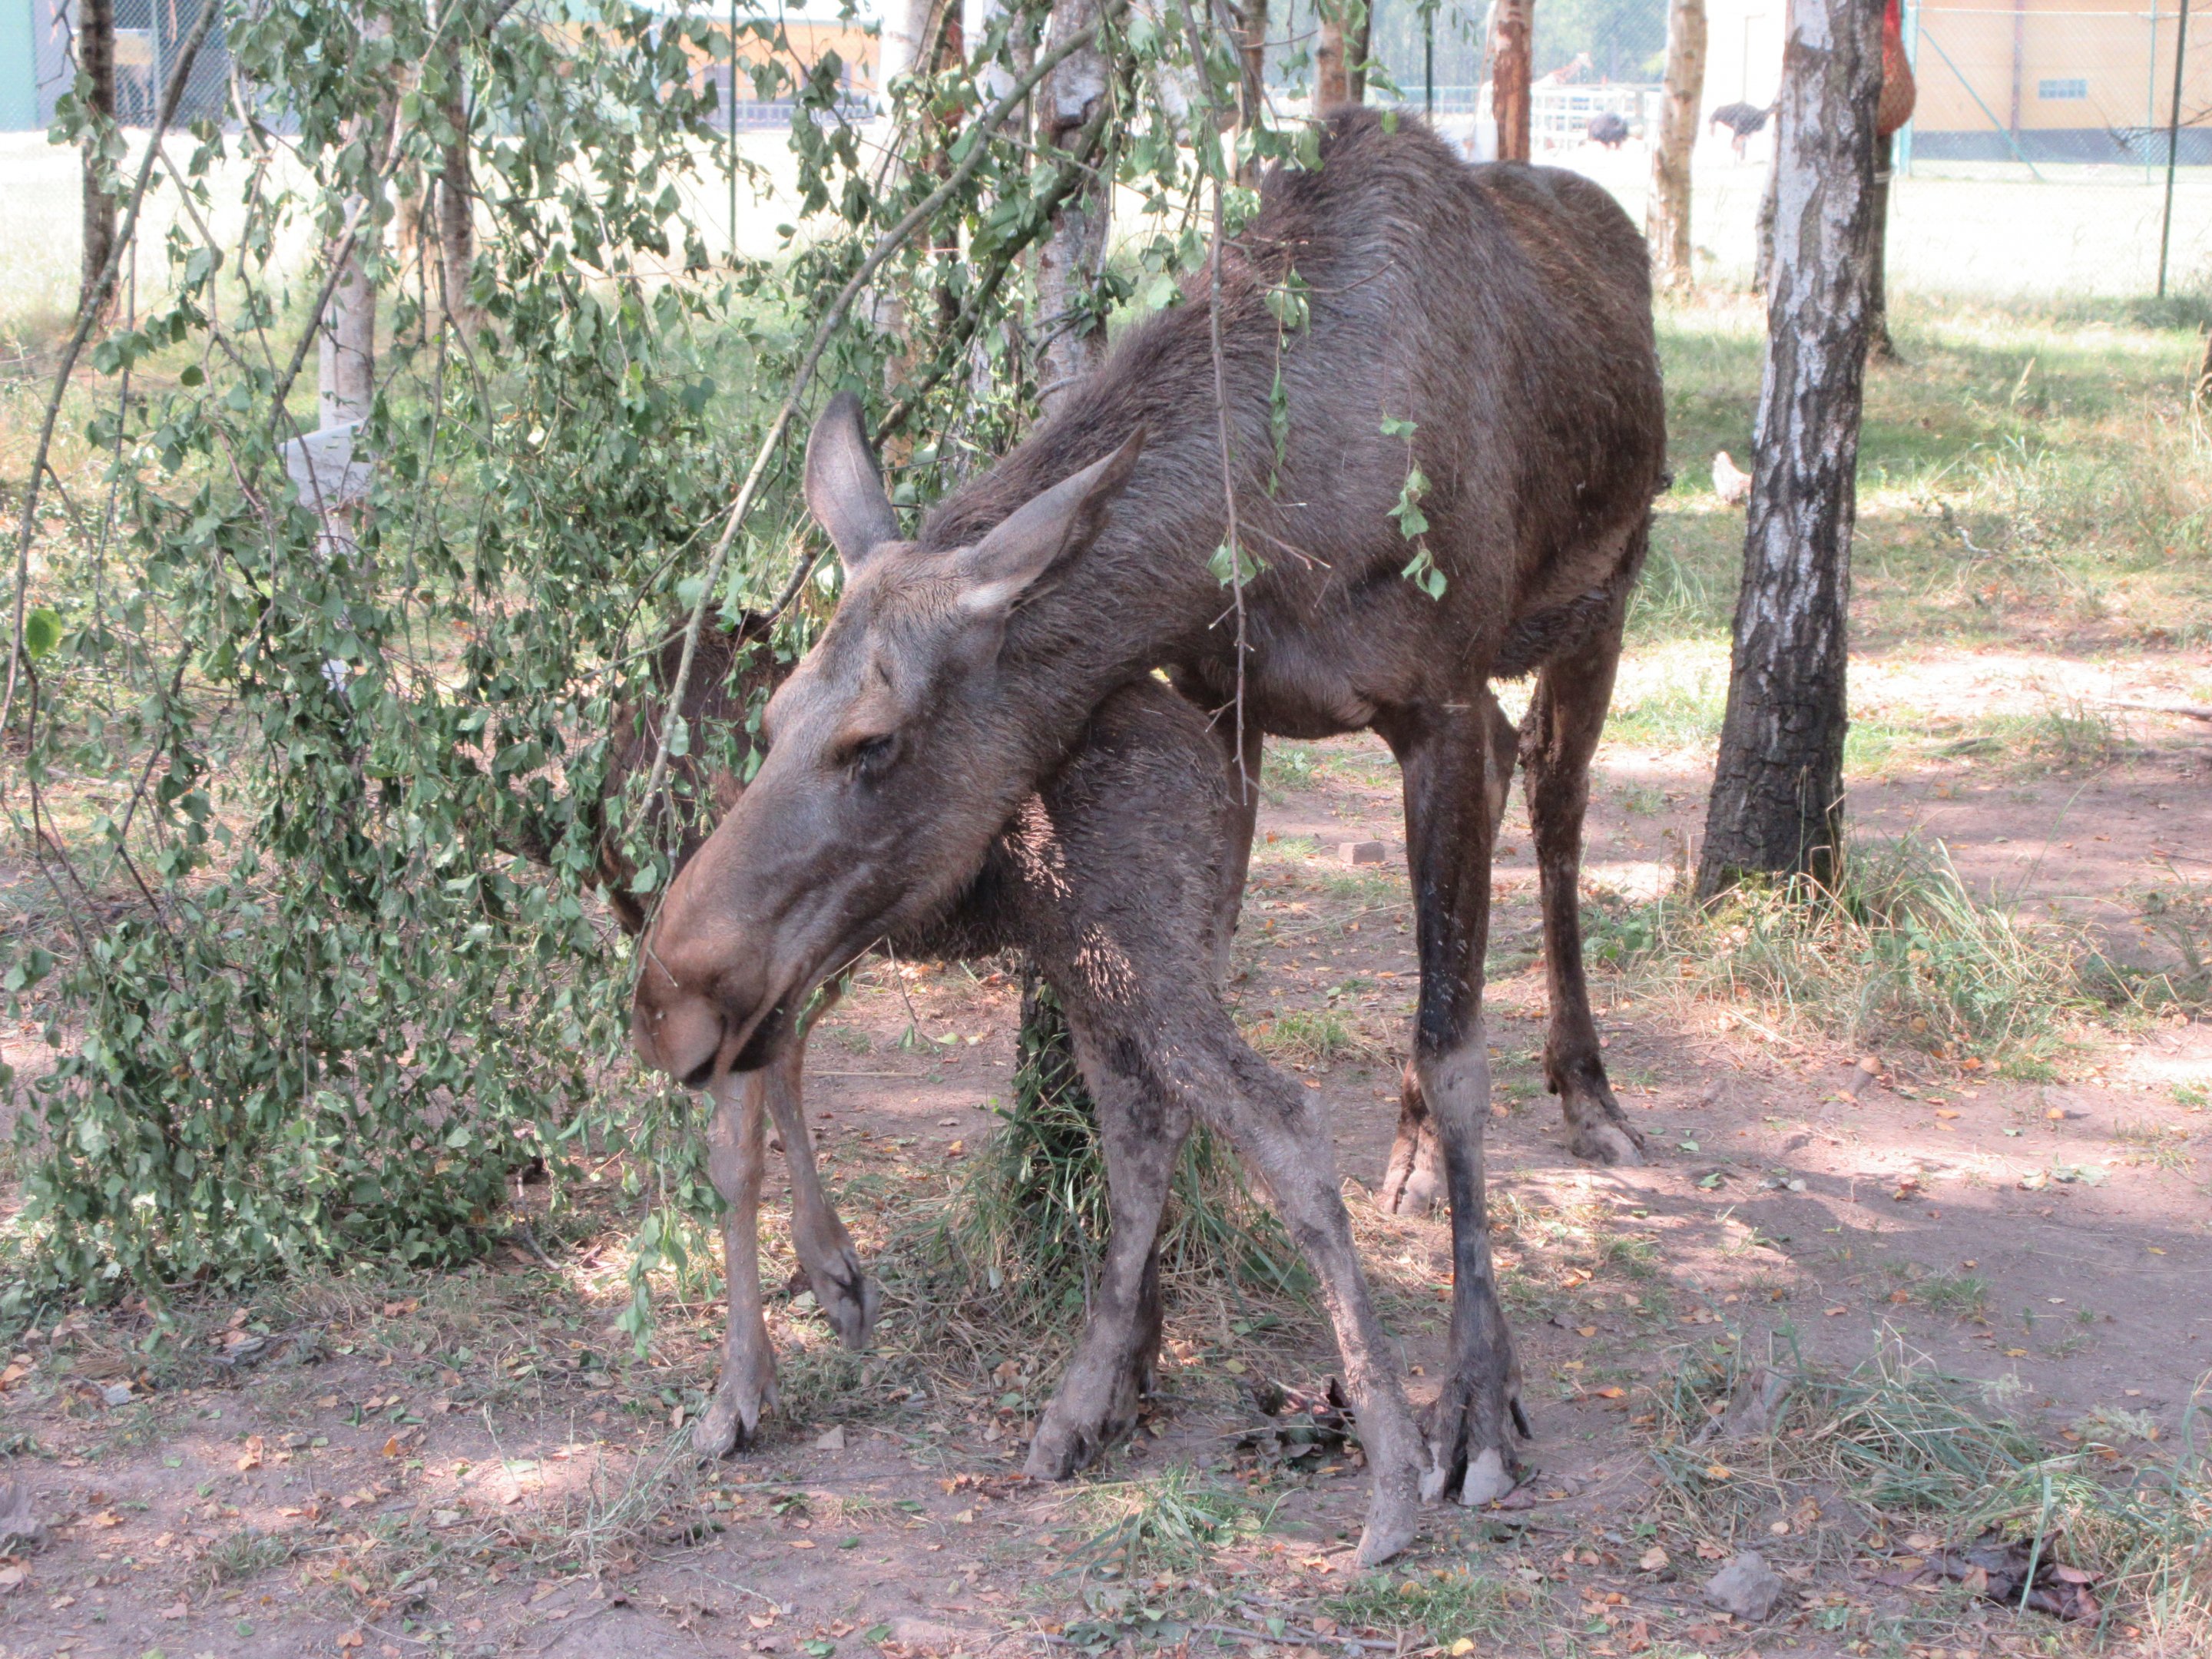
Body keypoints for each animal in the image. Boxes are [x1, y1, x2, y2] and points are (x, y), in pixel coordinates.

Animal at [632, 106, 1667, 1548]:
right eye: (774, 713)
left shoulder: (1440, 698)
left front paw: (1470, 1400)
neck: (1272, 508)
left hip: (1603, 598)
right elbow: (1177, 1062)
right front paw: (1127, 1361)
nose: (668, 989)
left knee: (1560, 816)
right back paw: (1402, 1151)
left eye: (873, 742)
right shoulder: (1219, 689)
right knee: (1516, 803)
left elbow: (1454, 1046)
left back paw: (1589, 1091)